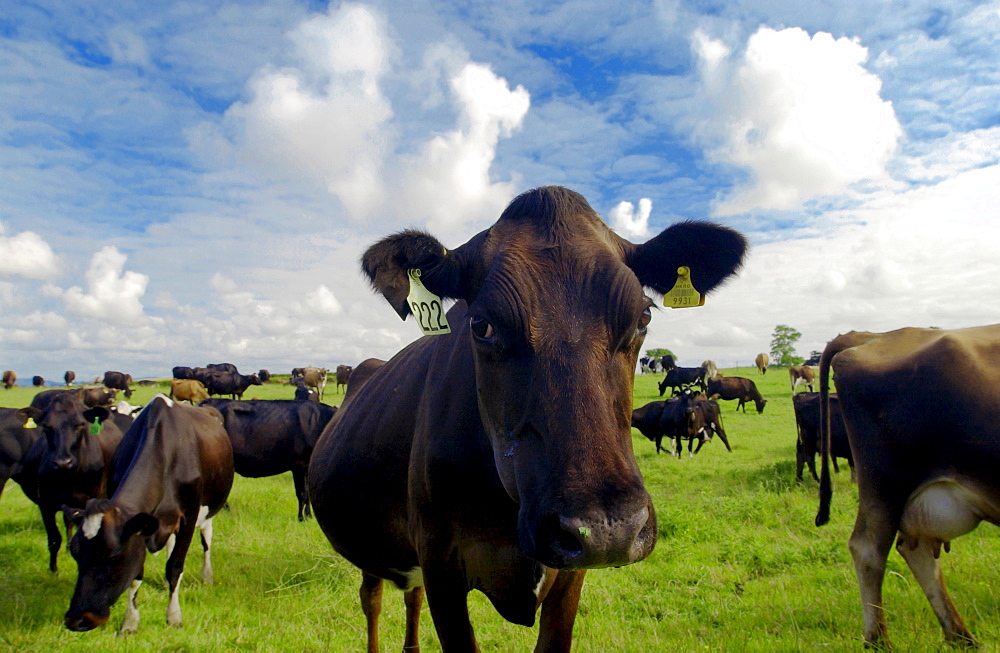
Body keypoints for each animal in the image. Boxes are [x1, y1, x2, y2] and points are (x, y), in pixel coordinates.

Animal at [18, 392, 123, 572]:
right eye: (47, 427)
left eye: (80, 425)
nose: (62, 462)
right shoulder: (45, 505)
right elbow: (54, 539)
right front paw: (53, 571)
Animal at [61, 394, 234, 636]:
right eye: (75, 553)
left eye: (114, 555)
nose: (77, 620)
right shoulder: (139, 527)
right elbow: (136, 576)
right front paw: (130, 622)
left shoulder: (189, 516)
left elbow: (175, 566)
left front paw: (174, 616)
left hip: (208, 509)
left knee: (206, 539)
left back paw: (206, 576)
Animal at [199, 398, 336, 520]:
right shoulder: (299, 465)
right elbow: (302, 493)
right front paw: (301, 518)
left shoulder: (307, 467)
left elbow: (308, 494)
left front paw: (309, 516)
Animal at [308, 185, 748, 652]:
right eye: (481, 325)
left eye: (643, 317)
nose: (609, 529)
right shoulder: (441, 565)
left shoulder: (570, 574)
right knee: (372, 599)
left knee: (411, 596)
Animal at [812, 326, 1000, 648]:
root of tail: (872, 336)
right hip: (886, 485)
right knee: (868, 550)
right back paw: (879, 641)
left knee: (916, 549)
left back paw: (961, 637)